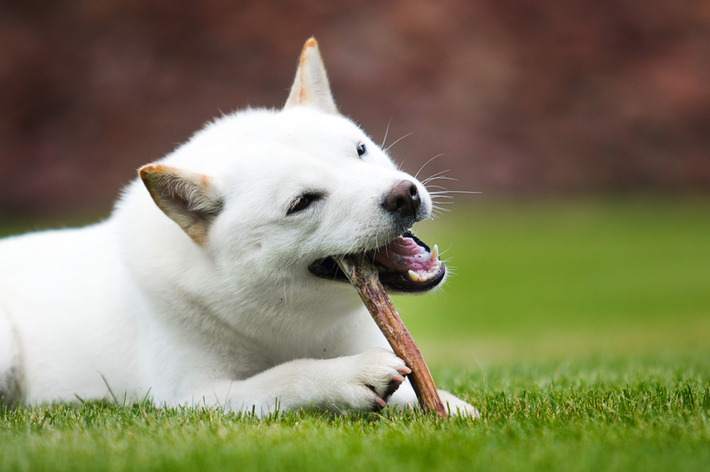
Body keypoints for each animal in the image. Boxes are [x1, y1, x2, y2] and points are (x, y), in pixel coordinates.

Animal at [2, 39, 478, 416]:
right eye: (302, 202)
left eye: (360, 150)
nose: (404, 195)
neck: (289, 321)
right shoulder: (189, 398)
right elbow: (286, 376)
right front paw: (348, 375)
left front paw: (447, 405)